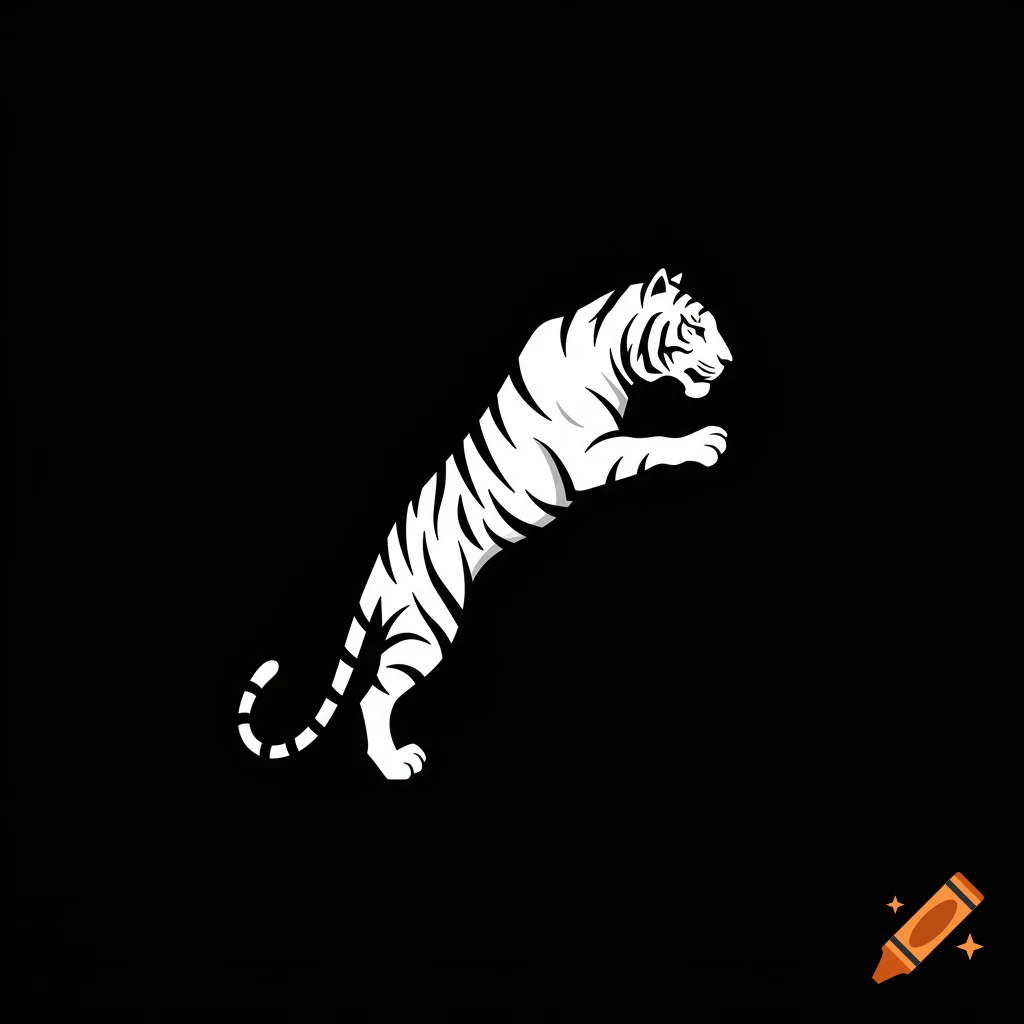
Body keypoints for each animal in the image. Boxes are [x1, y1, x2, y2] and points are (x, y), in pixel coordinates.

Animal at [238, 267, 733, 778]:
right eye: (695, 327)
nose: (729, 360)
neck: (608, 354)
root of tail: (378, 575)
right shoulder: (589, 456)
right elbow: (649, 444)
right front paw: (704, 442)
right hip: (426, 627)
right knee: (374, 695)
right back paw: (395, 764)